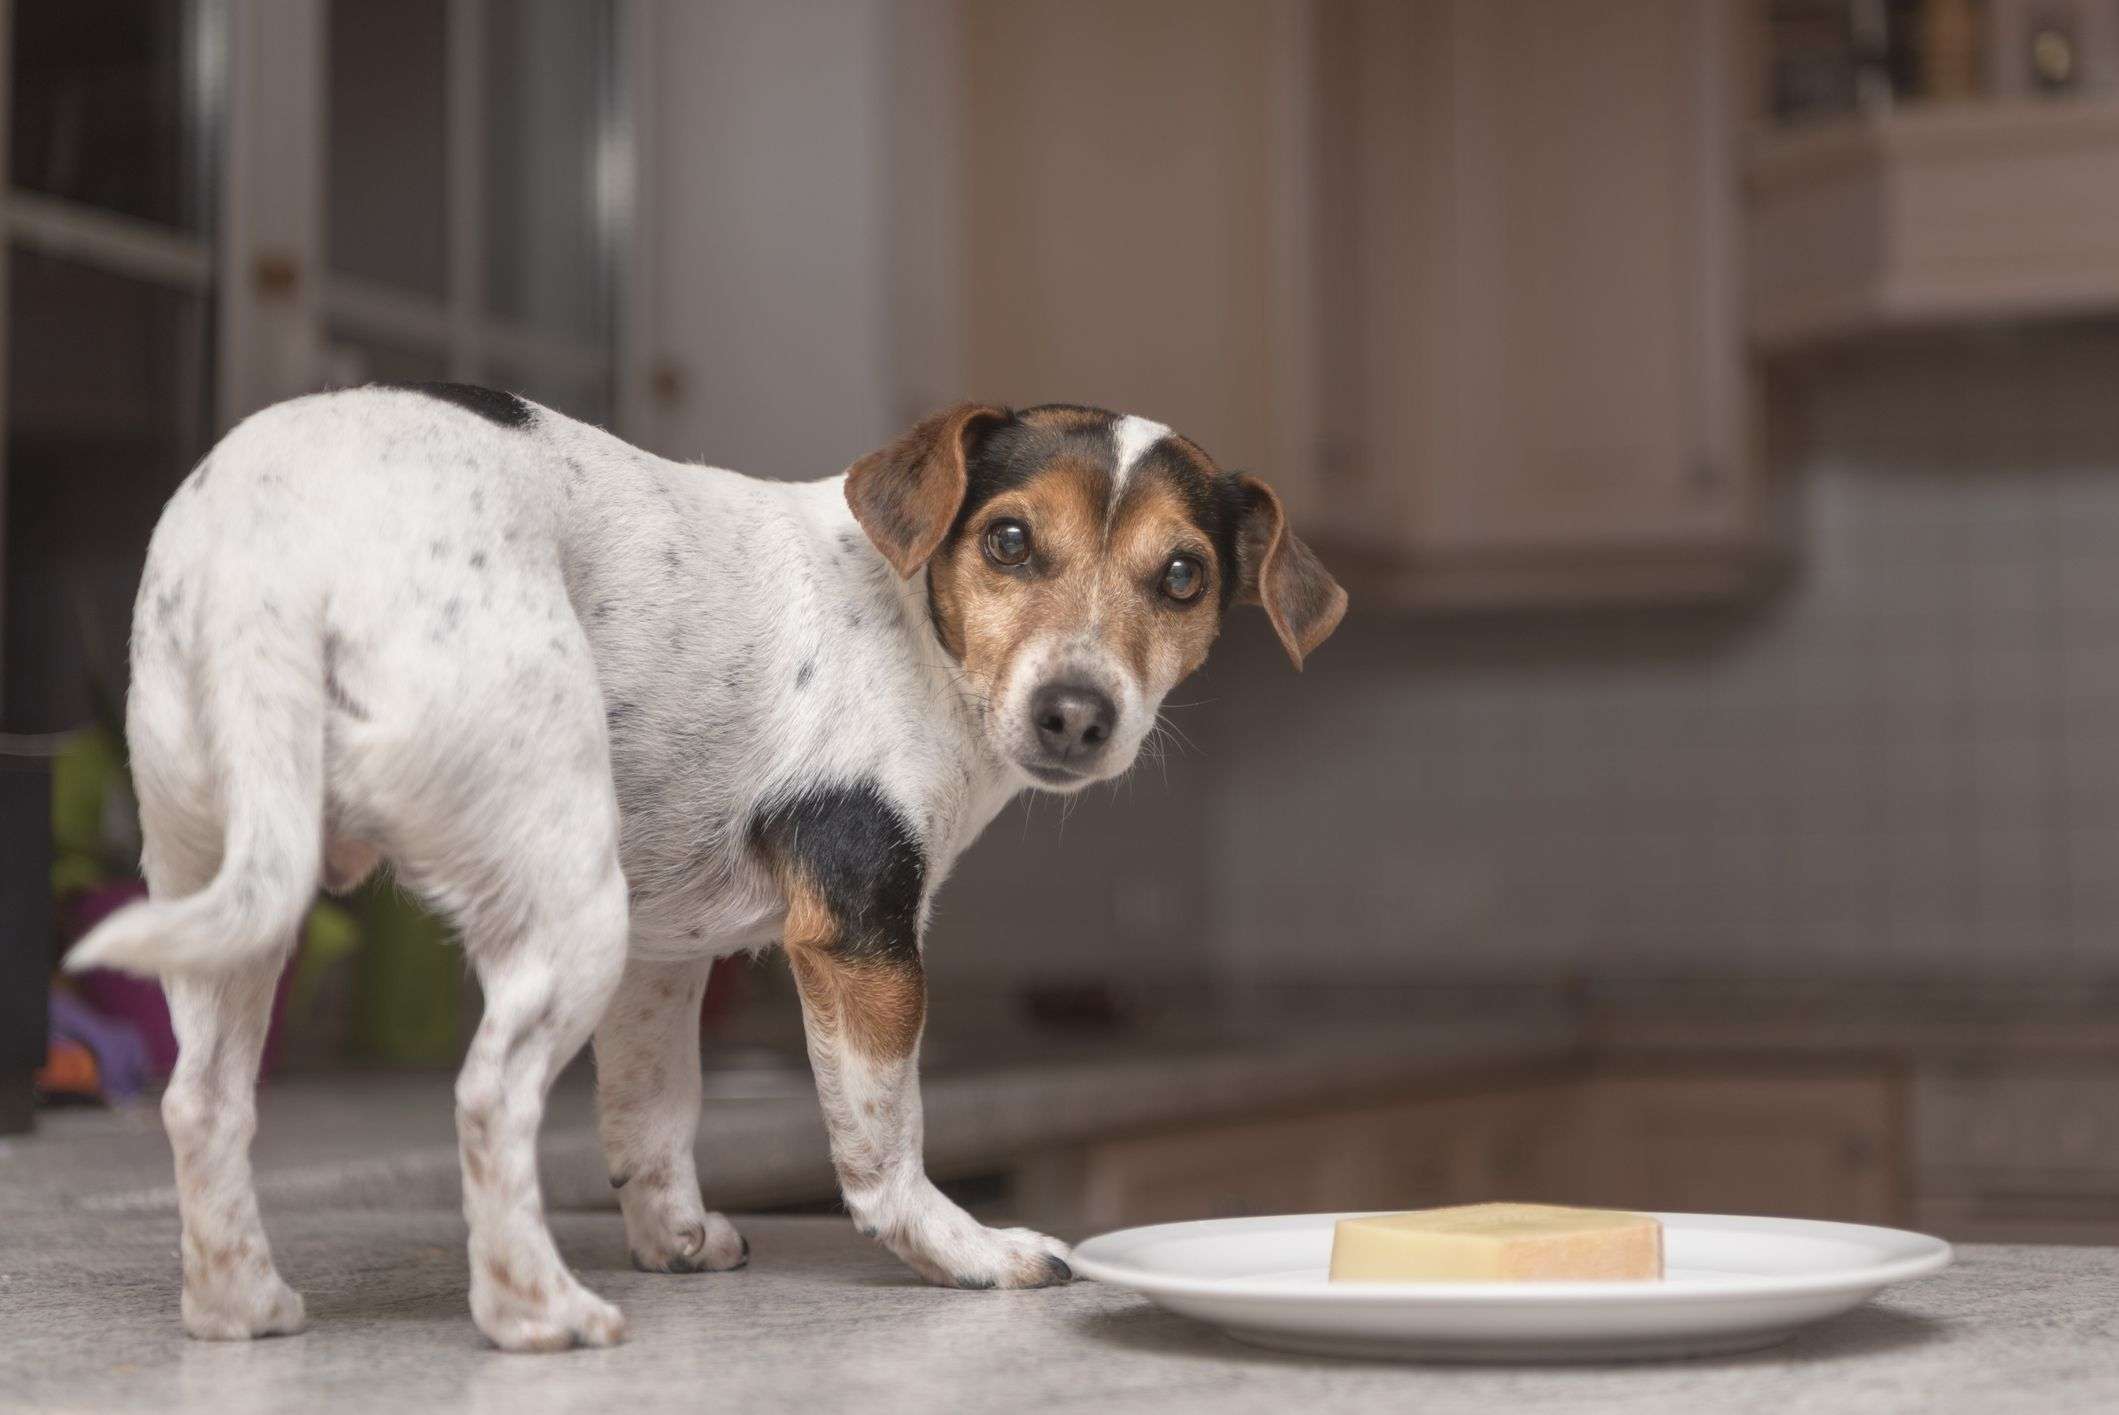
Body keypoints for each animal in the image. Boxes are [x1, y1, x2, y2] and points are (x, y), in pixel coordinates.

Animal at [74, 383, 1347, 1347]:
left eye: (1181, 575)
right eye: (1009, 539)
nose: (1075, 714)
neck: (909, 618)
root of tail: (283, 553)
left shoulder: (660, 958)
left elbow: (653, 1112)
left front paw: (675, 1235)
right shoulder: (859, 938)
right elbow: (883, 1141)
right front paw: (964, 1251)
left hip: (234, 887)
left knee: (204, 1101)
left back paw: (239, 1302)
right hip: (564, 900)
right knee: (488, 1097)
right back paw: (538, 1314)